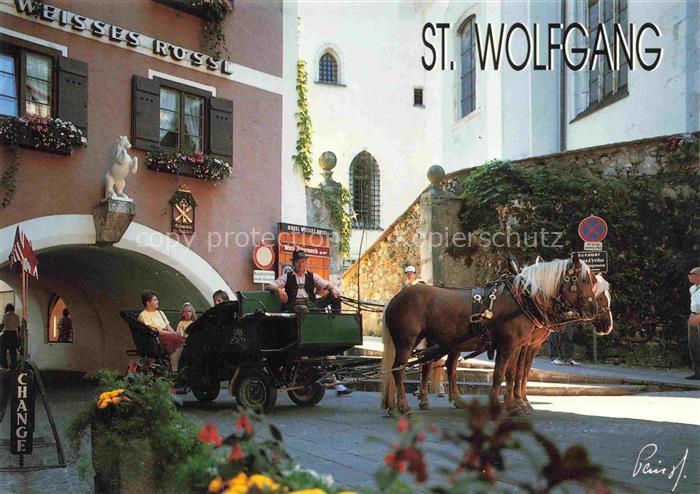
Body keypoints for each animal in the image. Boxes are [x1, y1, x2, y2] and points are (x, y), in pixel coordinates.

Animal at [380, 253, 600, 414]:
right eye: (584, 280)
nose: (594, 310)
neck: (523, 299)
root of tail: (396, 298)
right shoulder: (508, 344)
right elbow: (500, 373)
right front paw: (499, 403)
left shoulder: (519, 346)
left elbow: (512, 373)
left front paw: (513, 404)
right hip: (406, 341)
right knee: (399, 369)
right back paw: (404, 406)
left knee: (437, 366)